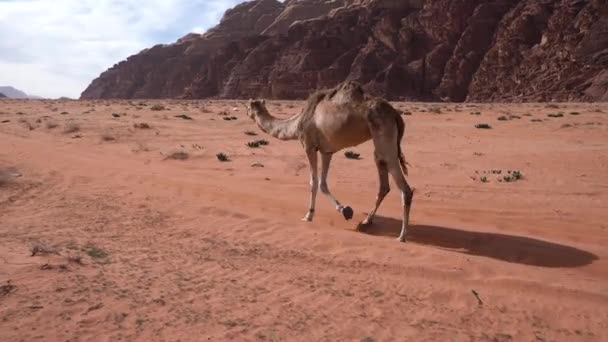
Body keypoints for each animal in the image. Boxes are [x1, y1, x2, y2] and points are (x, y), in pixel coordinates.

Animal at [245, 80, 416, 242]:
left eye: (248, 106)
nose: (247, 112)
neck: (297, 123)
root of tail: (395, 114)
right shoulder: (326, 151)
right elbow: (323, 183)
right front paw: (345, 210)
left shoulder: (309, 146)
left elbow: (314, 182)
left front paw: (308, 215)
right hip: (379, 145)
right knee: (383, 183)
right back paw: (366, 222)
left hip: (384, 137)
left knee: (404, 188)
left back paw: (402, 236)